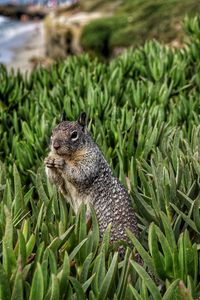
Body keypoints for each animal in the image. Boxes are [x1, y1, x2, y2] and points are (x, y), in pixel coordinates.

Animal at [44, 112, 139, 244]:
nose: (55, 146)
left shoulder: (91, 161)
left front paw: (62, 164)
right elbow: (57, 182)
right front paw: (49, 161)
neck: (68, 156)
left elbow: (80, 173)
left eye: (74, 135)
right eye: (52, 132)